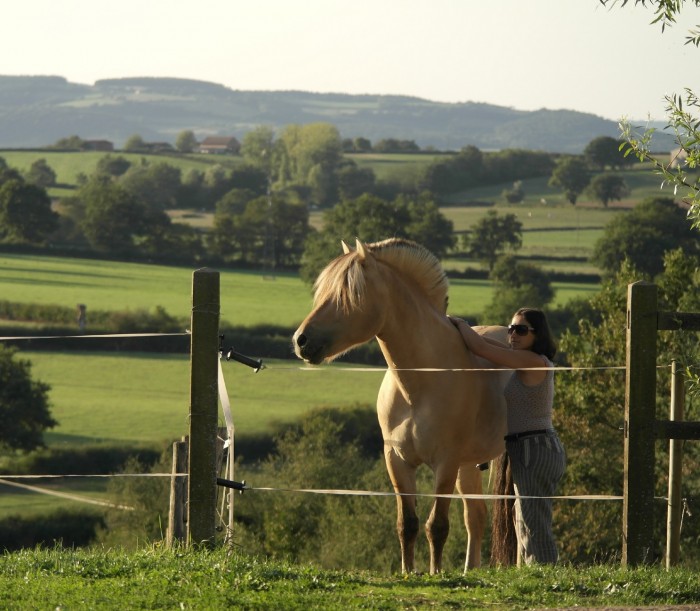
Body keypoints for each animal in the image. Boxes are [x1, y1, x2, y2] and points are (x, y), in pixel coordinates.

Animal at [292, 238, 512, 572]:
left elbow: (437, 526)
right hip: (468, 465)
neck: (418, 385)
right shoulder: (396, 460)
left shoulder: (445, 462)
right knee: (475, 517)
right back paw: (469, 570)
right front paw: (409, 572)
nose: (301, 340)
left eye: (348, 293)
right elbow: (407, 524)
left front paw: (435, 574)